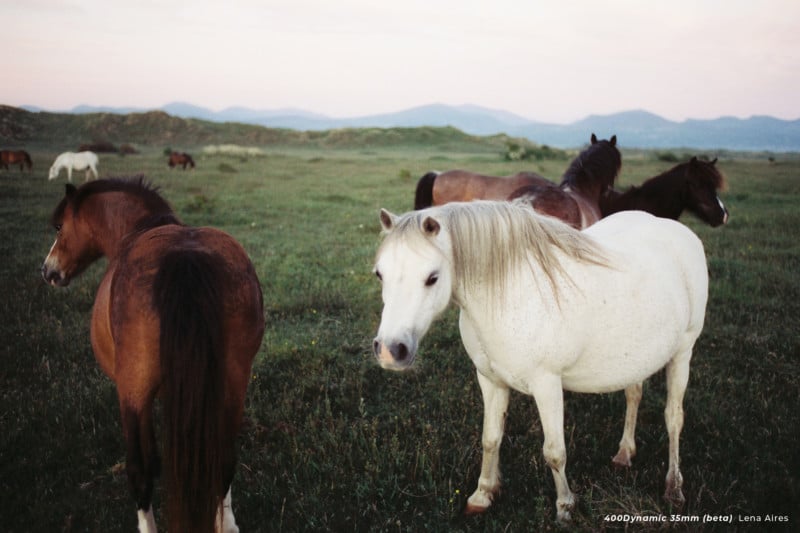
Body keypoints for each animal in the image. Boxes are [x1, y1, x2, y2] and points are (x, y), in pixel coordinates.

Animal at [40, 178, 264, 532]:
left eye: (60, 226)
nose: (48, 271)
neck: (137, 228)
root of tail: (186, 259)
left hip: (133, 389)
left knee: (139, 470)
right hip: (233, 381)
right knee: (224, 458)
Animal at [372, 202, 708, 520]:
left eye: (432, 278)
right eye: (380, 274)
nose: (390, 350)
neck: (510, 296)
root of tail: (679, 231)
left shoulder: (547, 385)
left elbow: (554, 452)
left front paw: (565, 508)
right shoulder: (490, 380)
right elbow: (490, 438)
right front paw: (482, 496)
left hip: (683, 352)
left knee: (674, 418)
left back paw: (674, 488)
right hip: (634, 359)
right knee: (634, 395)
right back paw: (624, 454)